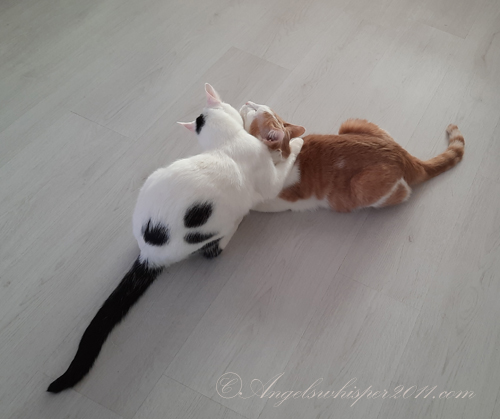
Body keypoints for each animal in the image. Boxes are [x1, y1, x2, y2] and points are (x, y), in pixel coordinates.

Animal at [47, 85, 303, 393]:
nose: (247, 101)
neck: (225, 143)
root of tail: (150, 253)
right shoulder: (267, 179)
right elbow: (281, 171)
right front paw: (298, 144)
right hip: (214, 226)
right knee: (213, 250)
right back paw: (235, 226)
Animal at [240, 101, 464, 213]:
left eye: (255, 109)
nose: (247, 100)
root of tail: (403, 155)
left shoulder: (269, 200)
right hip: (350, 124)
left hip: (360, 187)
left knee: (403, 191)